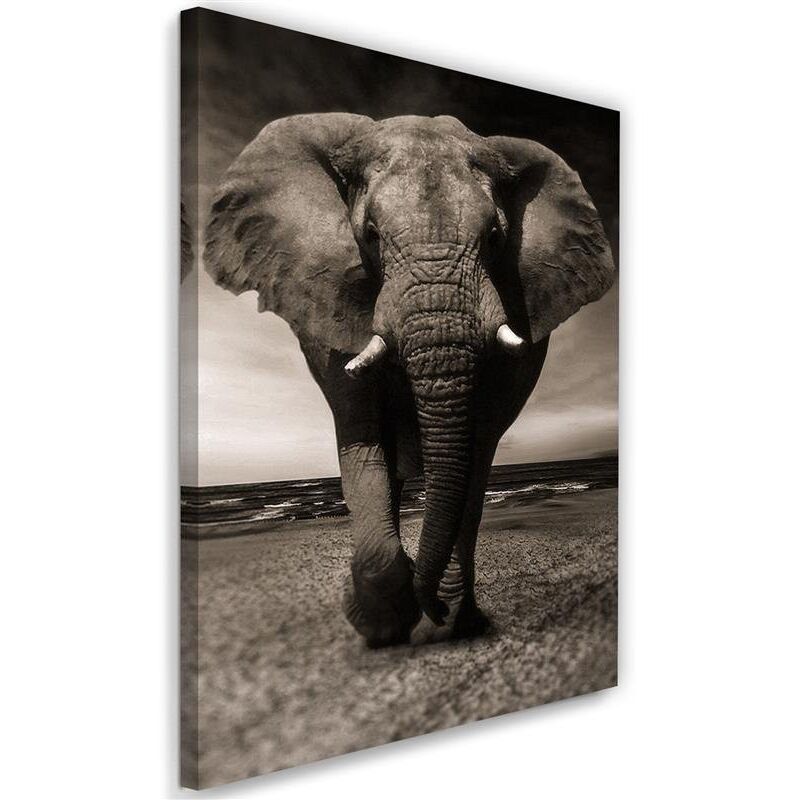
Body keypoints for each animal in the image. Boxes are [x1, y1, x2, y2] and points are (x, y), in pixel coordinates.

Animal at [204, 113, 616, 648]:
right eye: (371, 235)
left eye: (496, 238)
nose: (433, 609)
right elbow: (362, 435)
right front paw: (380, 625)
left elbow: (474, 451)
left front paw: (439, 616)